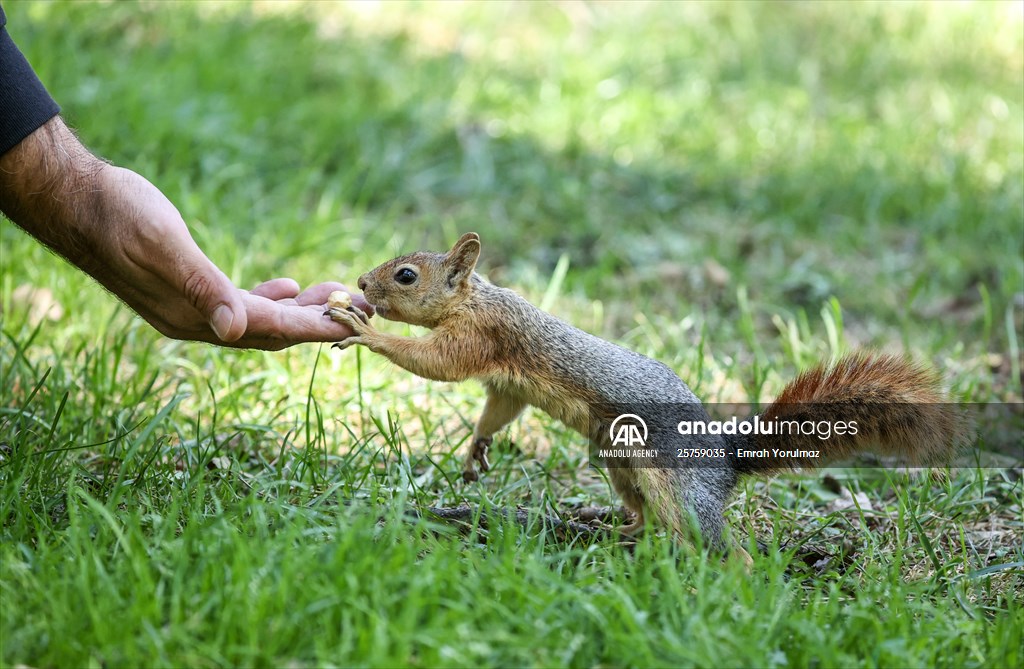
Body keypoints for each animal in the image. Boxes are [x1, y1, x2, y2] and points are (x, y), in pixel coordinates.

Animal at [326, 232, 968, 551]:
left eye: (406, 275)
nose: (360, 282)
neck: (475, 298)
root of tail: (725, 467)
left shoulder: (481, 337)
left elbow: (433, 363)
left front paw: (366, 332)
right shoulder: (506, 381)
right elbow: (498, 410)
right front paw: (477, 448)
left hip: (673, 485)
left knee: (718, 546)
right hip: (620, 464)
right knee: (645, 517)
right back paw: (618, 534)